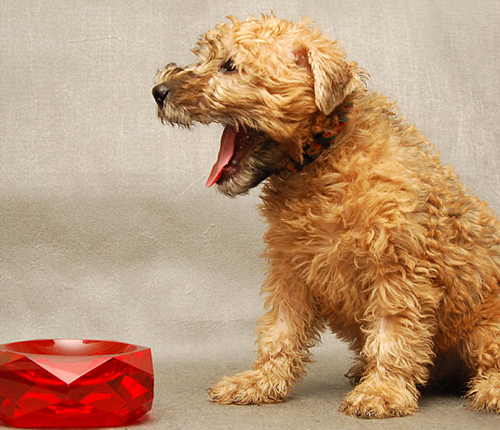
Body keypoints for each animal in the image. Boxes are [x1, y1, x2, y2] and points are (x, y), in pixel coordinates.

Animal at [152, 14, 500, 418]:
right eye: (204, 57)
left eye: (230, 66)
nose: (158, 91)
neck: (322, 160)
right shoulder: (291, 270)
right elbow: (280, 331)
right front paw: (259, 382)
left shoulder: (396, 268)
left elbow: (392, 333)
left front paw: (381, 391)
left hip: (484, 328)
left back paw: (490, 388)